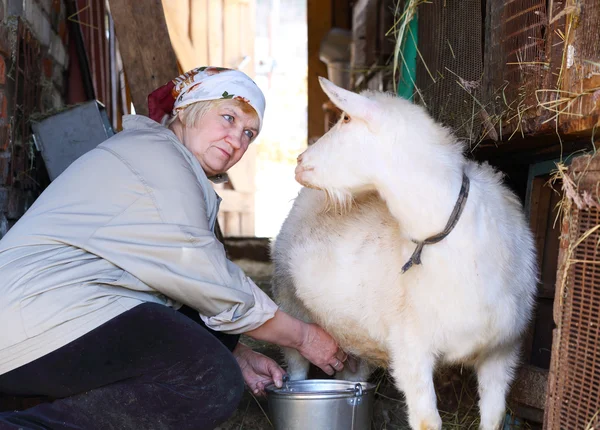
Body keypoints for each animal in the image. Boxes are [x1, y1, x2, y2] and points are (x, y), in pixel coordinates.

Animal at [270, 78, 536, 430]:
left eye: (346, 118)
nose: (299, 161)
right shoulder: (411, 348)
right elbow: (427, 421)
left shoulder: (502, 351)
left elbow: (493, 418)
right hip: (290, 302)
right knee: (297, 369)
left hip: (356, 332)